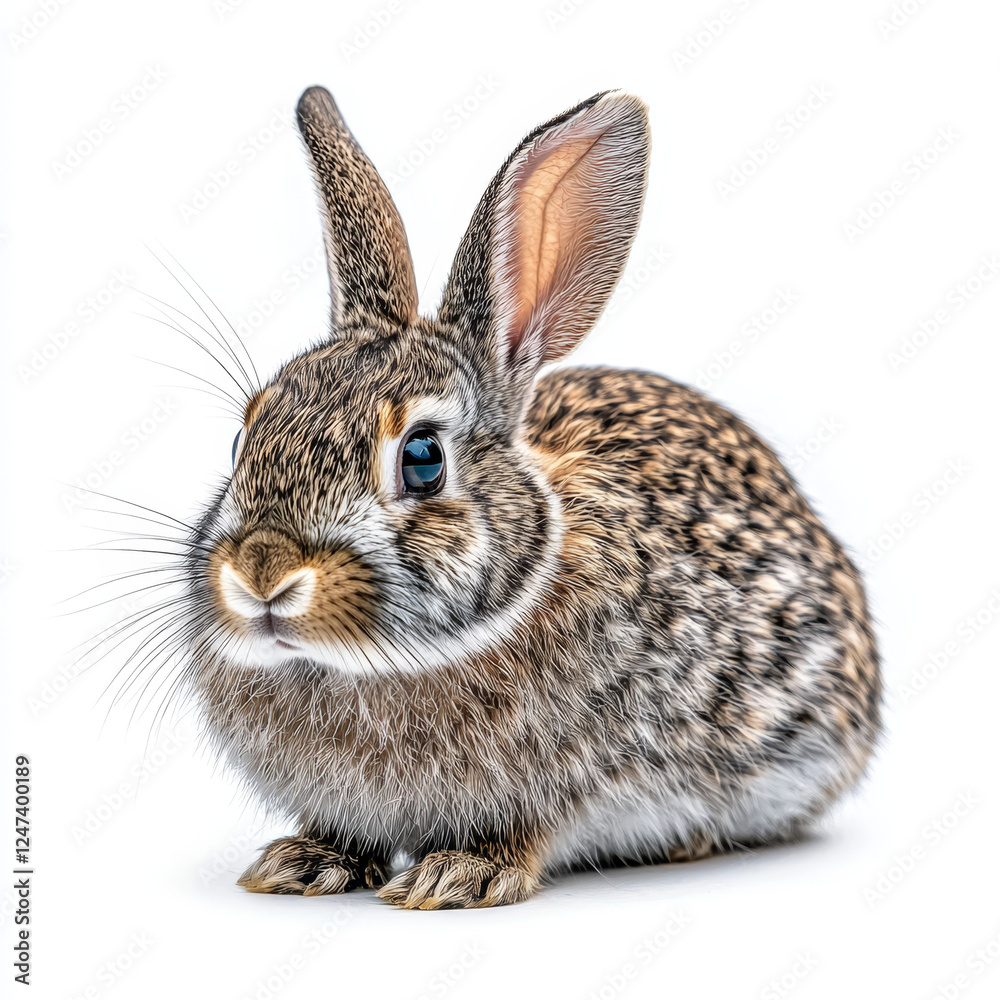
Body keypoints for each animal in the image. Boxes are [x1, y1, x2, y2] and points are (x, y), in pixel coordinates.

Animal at [179, 86, 881, 909]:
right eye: (241, 441)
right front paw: (303, 862)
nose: (262, 572)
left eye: (422, 458)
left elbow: (525, 832)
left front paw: (459, 875)